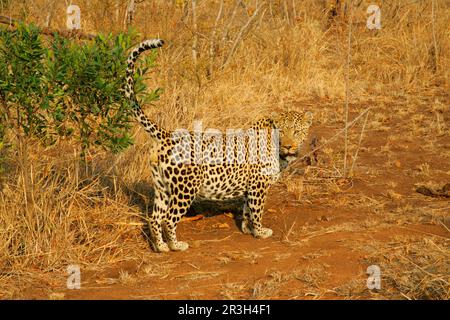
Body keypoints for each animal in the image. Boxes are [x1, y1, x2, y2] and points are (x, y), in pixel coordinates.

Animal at [123, 38, 312, 252]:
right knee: (169, 219)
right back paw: (176, 245)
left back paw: (161, 247)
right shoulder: (258, 185)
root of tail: (168, 135)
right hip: (185, 189)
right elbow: (257, 210)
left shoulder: (250, 186)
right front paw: (260, 232)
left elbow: (247, 209)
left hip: (162, 186)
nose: (288, 146)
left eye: (296, 132)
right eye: (283, 132)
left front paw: (247, 229)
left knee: (155, 217)